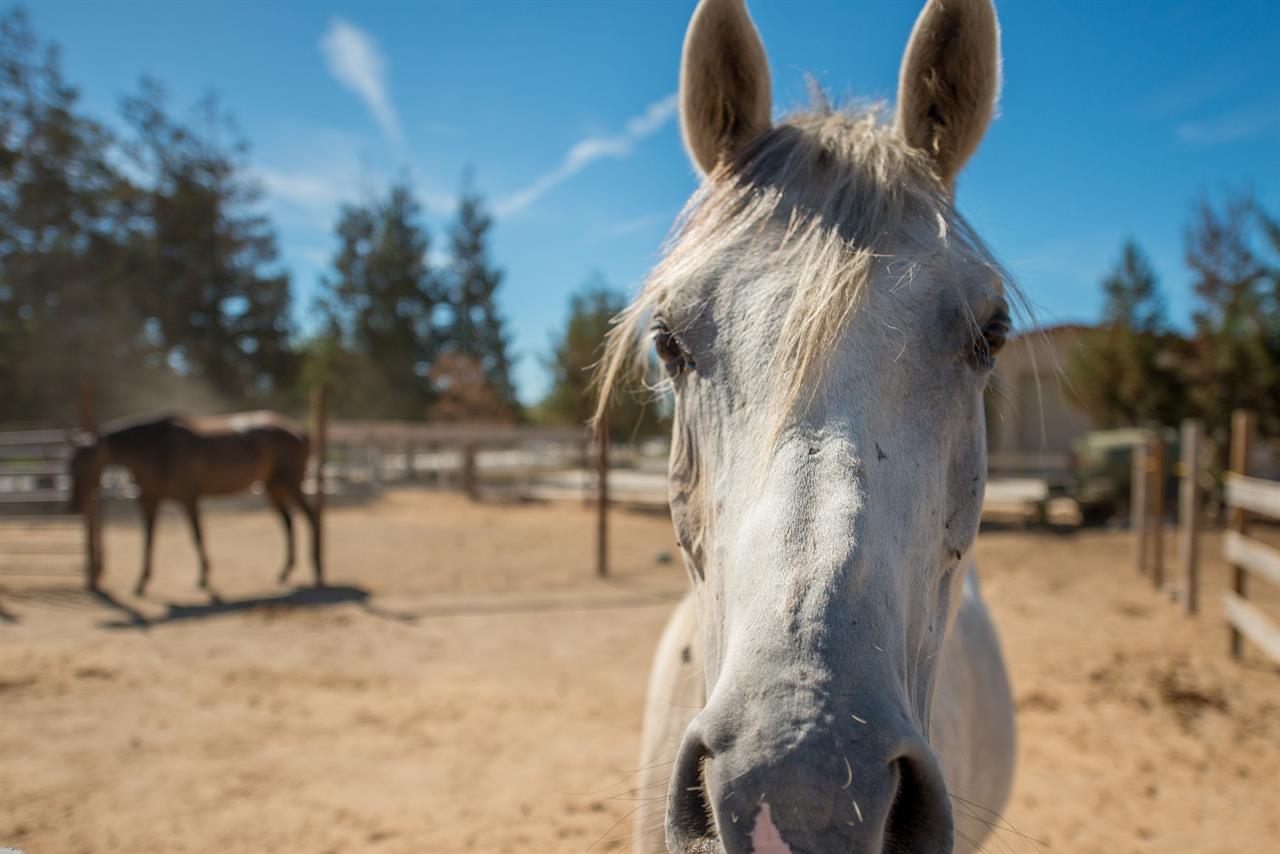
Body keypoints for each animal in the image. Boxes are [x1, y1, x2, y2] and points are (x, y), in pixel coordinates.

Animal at [68, 411, 322, 595]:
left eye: (86, 462)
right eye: (70, 463)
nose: (72, 506)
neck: (157, 449)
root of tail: (300, 432)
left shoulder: (188, 498)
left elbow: (196, 535)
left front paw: (204, 577)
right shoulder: (149, 501)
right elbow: (148, 540)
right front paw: (141, 582)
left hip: (289, 483)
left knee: (309, 517)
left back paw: (317, 569)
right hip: (273, 486)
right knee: (288, 522)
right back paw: (285, 572)